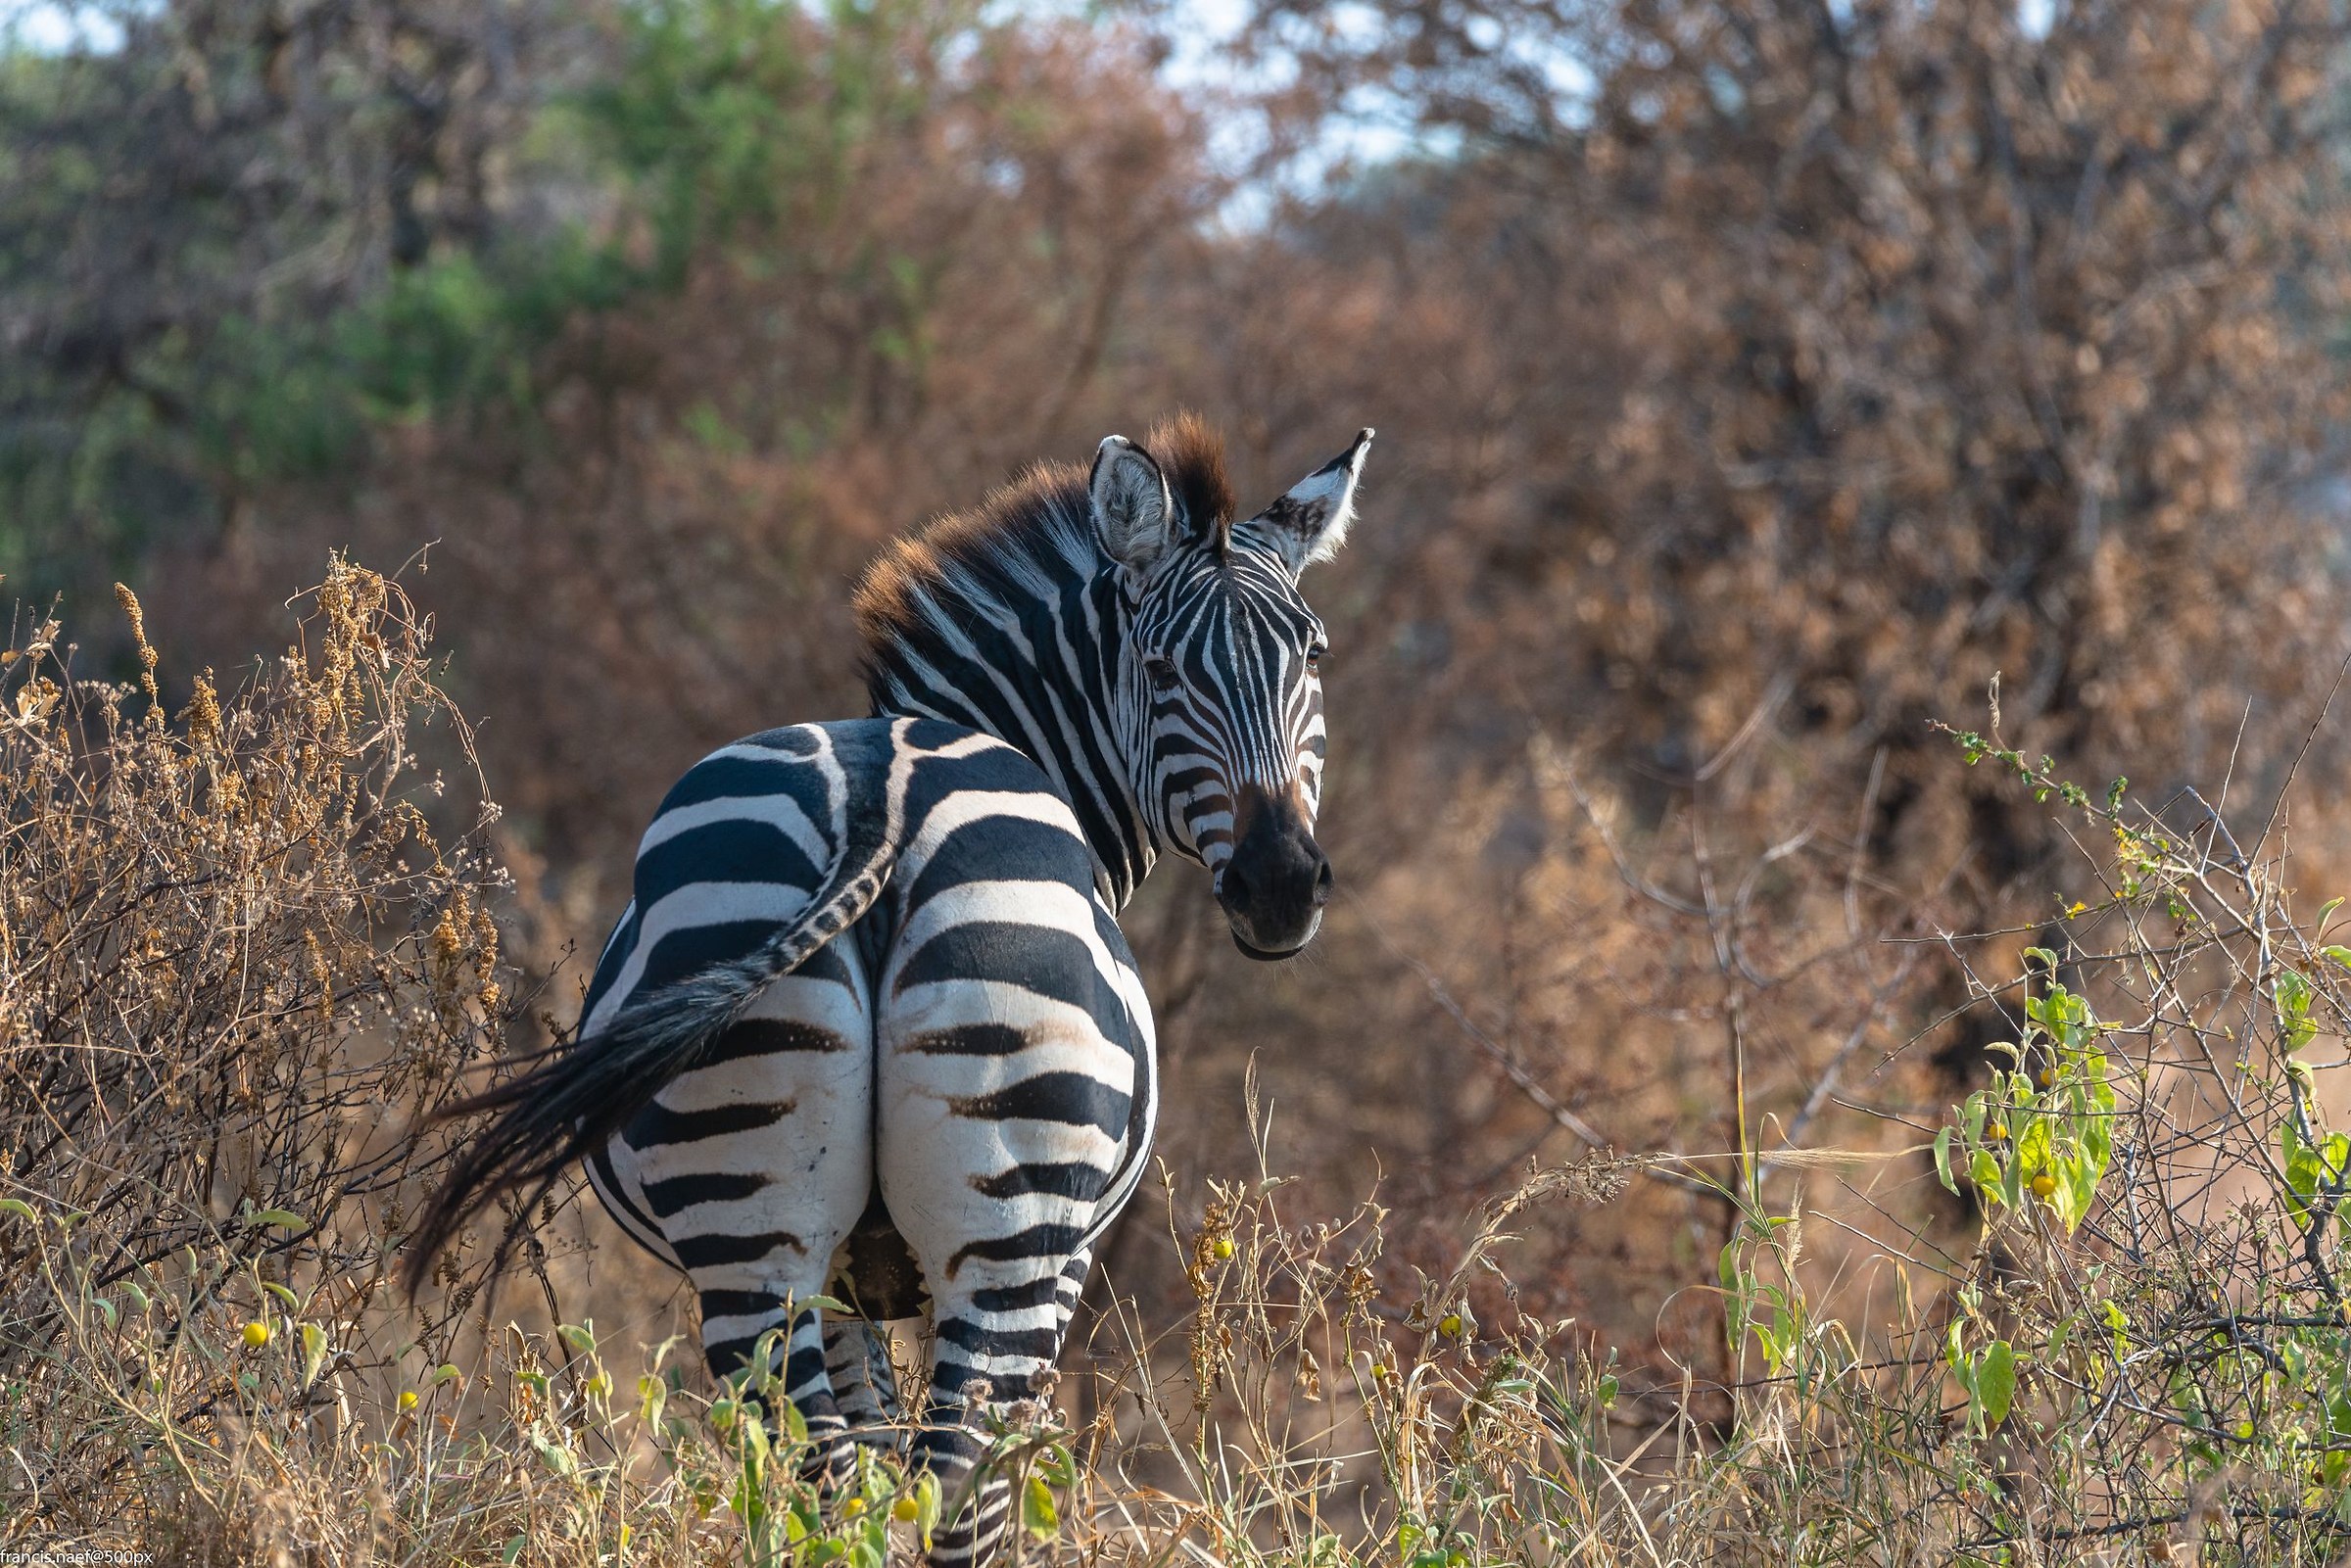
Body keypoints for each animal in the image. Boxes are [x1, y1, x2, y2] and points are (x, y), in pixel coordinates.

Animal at [405, 413, 1372, 1563]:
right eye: (1158, 664)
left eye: (1312, 654)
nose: (1280, 886)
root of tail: (883, 797)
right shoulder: (1064, 1264)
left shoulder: (846, 1283)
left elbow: (865, 1467)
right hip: (1009, 1229)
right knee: (958, 1485)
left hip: (749, 1227)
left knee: (819, 1479)